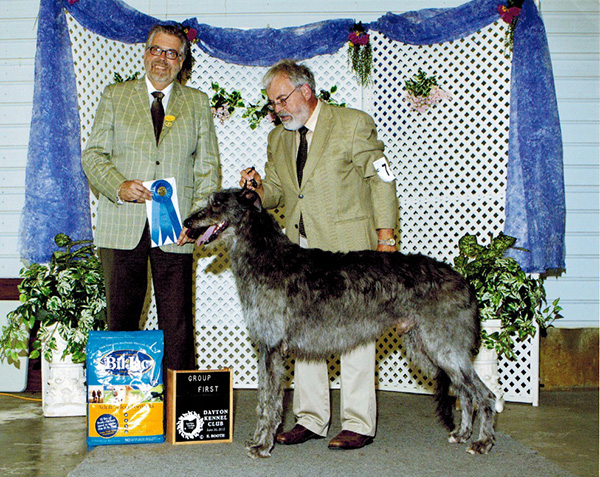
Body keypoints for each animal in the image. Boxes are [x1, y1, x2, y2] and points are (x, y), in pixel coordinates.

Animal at [184, 188, 496, 458]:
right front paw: (259, 440)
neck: (267, 256)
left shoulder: (271, 348)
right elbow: (263, 398)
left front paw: (262, 445)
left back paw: (482, 442)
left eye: (216, 203)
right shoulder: (267, 348)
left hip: (443, 346)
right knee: (465, 392)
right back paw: (463, 434)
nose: (187, 222)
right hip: (427, 347)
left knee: (485, 394)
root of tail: (464, 281)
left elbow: (270, 401)